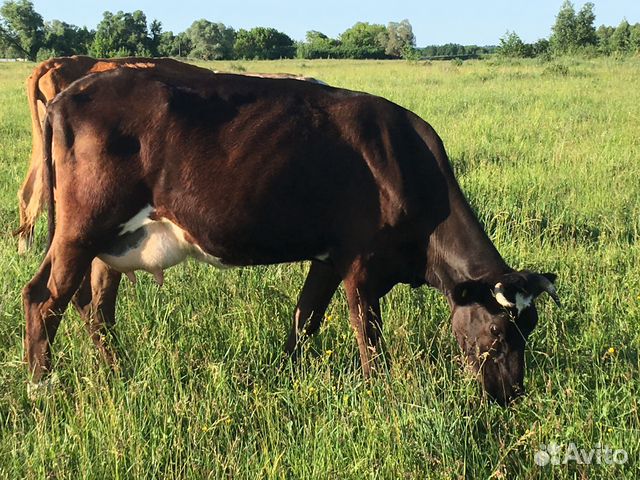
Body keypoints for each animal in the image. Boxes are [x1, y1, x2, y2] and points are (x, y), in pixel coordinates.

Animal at [22, 67, 556, 404]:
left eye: (529, 327)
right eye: (497, 331)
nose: (511, 396)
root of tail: (72, 90)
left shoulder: (329, 258)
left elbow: (305, 319)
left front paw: (287, 375)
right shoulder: (362, 265)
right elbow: (369, 337)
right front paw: (381, 395)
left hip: (109, 242)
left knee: (94, 305)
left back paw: (116, 373)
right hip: (82, 228)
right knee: (44, 298)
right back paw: (40, 388)